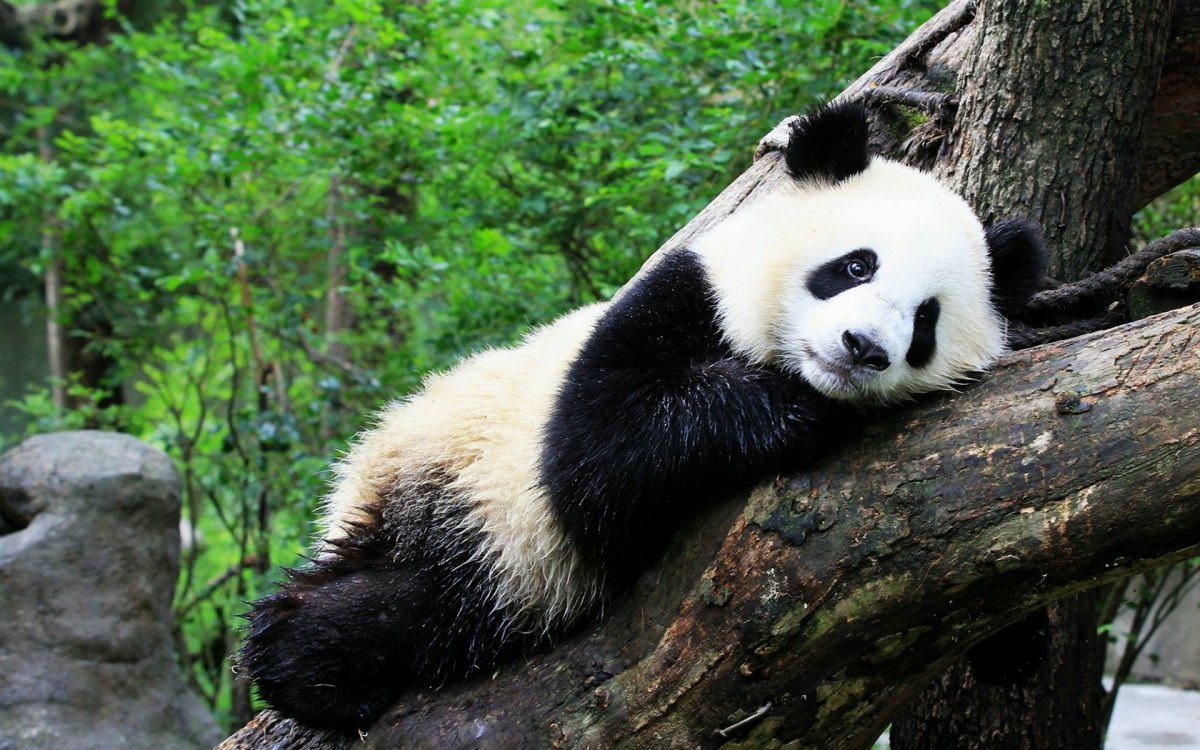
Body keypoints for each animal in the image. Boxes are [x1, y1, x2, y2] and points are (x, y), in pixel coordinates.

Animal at [239, 101, 1046, 731]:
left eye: (926, 320)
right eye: (855, 266)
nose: (863, 348)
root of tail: (363, 477)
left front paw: (1013, 639)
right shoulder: (681, 295)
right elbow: (599, 450)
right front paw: (790, 411)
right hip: (463, 507)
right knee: (393, 607)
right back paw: (308, 670)